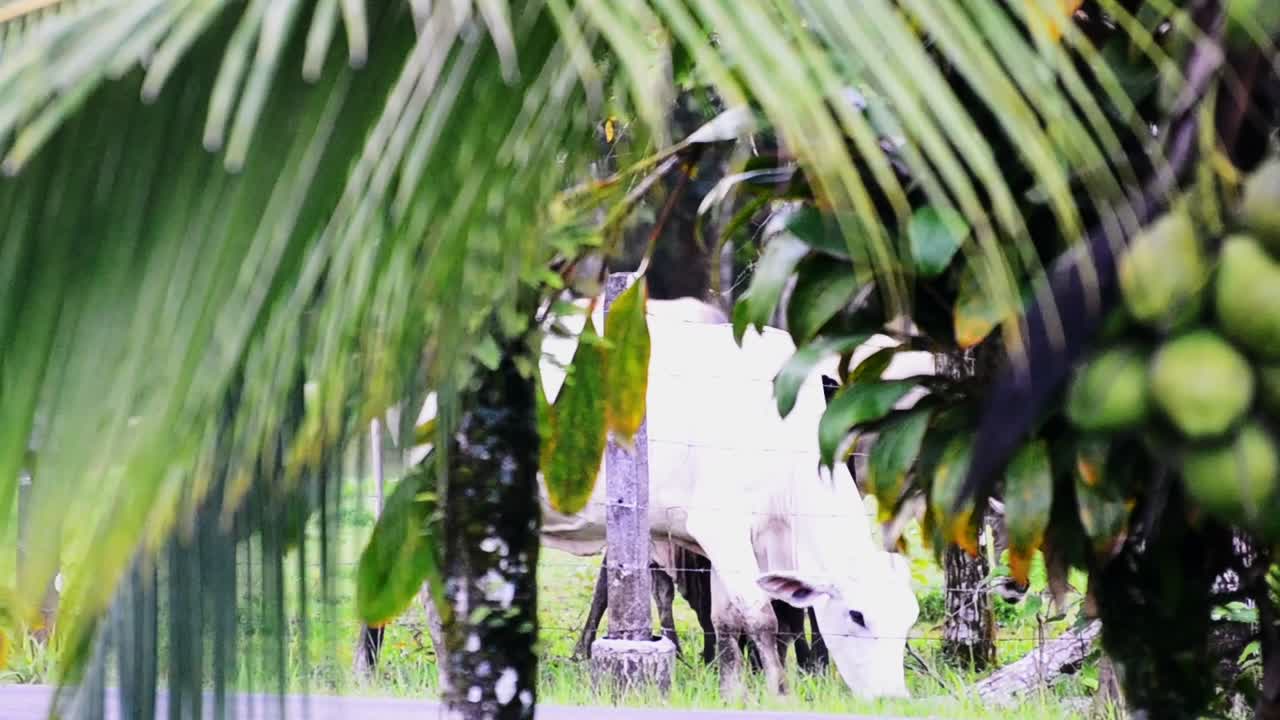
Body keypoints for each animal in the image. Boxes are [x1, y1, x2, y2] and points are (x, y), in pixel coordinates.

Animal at [538, 296, 923, 699]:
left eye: (908, 619)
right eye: (858, 615)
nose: (892, 697)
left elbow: (725, 621)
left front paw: (732, 694)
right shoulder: (720, 527)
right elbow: (761, 617)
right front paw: (779, 693)